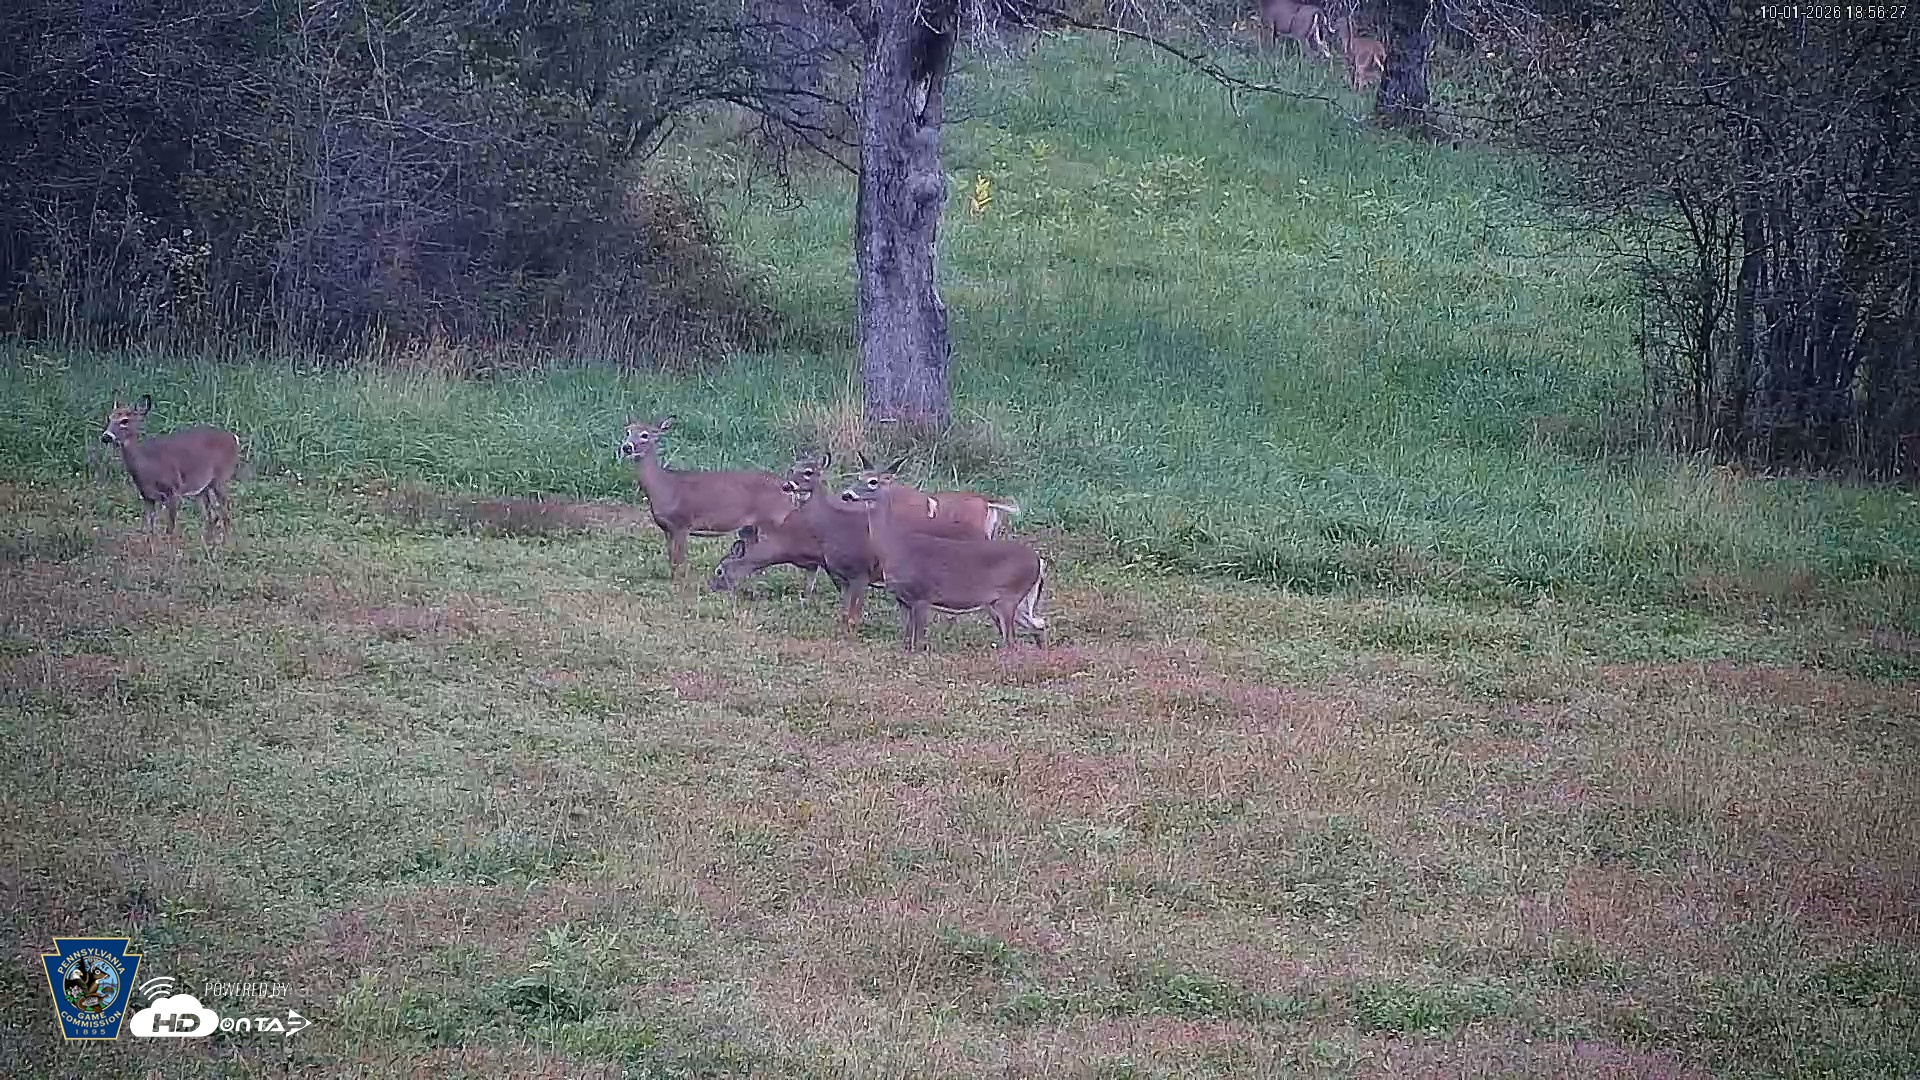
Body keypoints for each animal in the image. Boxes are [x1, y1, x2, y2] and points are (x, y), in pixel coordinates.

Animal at [99, 394, 241, 541]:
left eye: (124, 420)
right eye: (109, 418)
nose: (105, 437)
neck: (146, 465)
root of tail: (234, 438)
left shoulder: (173, 490)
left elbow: (170, 529)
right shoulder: (147, 496)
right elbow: (147, 529)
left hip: (221, 478)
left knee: (225, 511)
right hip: (203, 488)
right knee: (212, 516)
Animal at [618, 416, 797, 581]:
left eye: (645, 435)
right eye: (628, 431)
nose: (626, 447)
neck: (664, 487)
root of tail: (785, 485)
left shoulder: (682, 523)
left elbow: (679, 560)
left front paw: (680, 583)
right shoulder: (667, 528)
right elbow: (672, 560)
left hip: (774, 520)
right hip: (750, 527)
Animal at [838, 456, 1048, 652]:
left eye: (873, 481)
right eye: (858, 476)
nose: (846, 494)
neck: (895, 547)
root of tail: (1039, 562)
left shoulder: (922, 595)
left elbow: (918, 644)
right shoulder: (903, 600)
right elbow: (907, 643)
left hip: (1009, 597)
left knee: (1013, 641)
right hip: (1008, 602)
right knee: (1038, 625)